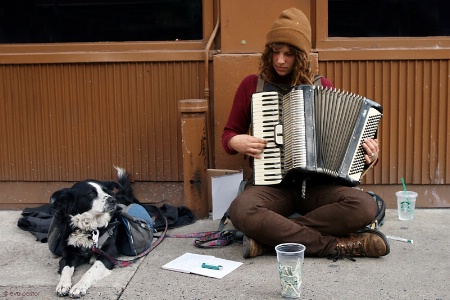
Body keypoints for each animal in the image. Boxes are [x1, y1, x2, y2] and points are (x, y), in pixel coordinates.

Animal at [50, 166, 138, 298]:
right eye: (91, 193)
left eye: (106, 191)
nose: (113, 200)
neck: (89, 228)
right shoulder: (68, 254)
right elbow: (66, 269)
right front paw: (63, 285)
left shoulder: (107, 255)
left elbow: (90, 272)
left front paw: (79, 287)